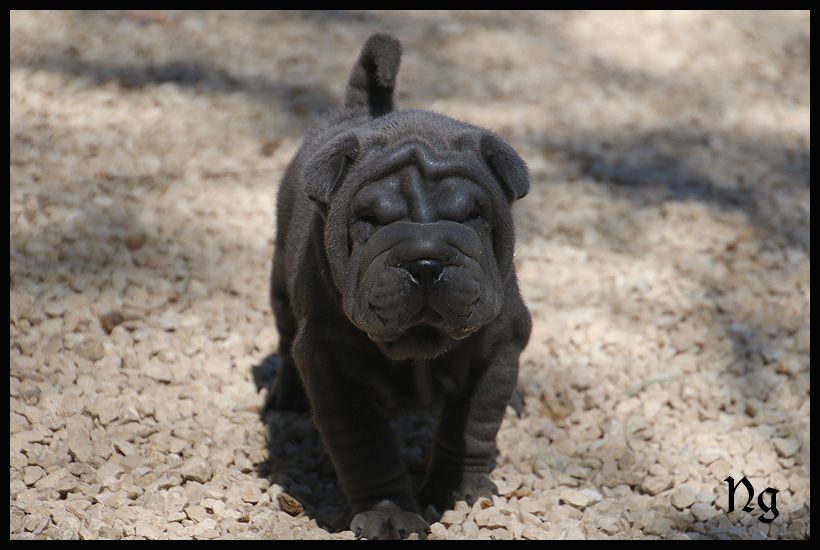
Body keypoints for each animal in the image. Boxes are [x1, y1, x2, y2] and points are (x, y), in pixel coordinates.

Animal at [265, 33, 531, 540]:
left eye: (472, 215)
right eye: (370, 220)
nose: (425, 262)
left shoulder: (498, 349)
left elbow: (473, 427)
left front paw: (459, 492)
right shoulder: (332, 367)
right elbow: (367, 450)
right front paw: (390, 515)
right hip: (280, 286)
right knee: (286, 337)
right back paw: (286, 397)